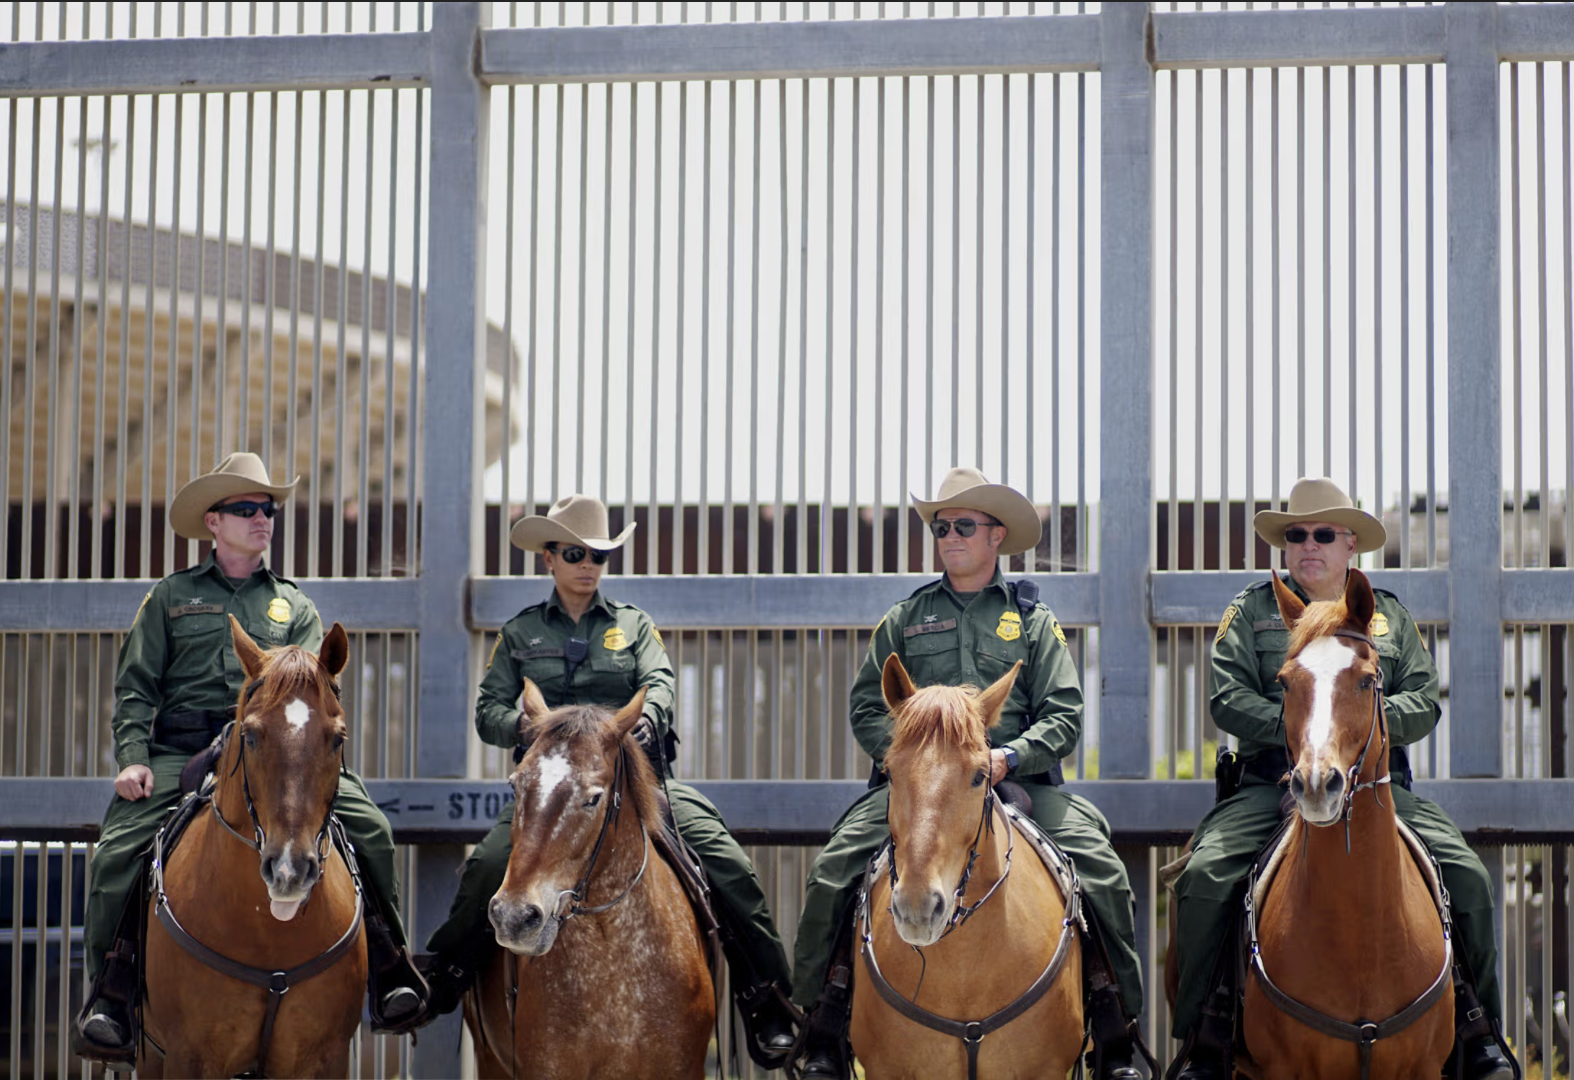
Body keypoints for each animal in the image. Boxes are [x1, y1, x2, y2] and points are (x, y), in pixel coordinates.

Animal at [1158, 569, 1448, 1076]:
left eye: (1367, 680)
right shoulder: (1283, 1068)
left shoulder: (1425, 1068)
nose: (1316, 783)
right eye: (1286, 682)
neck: (1362, 933)